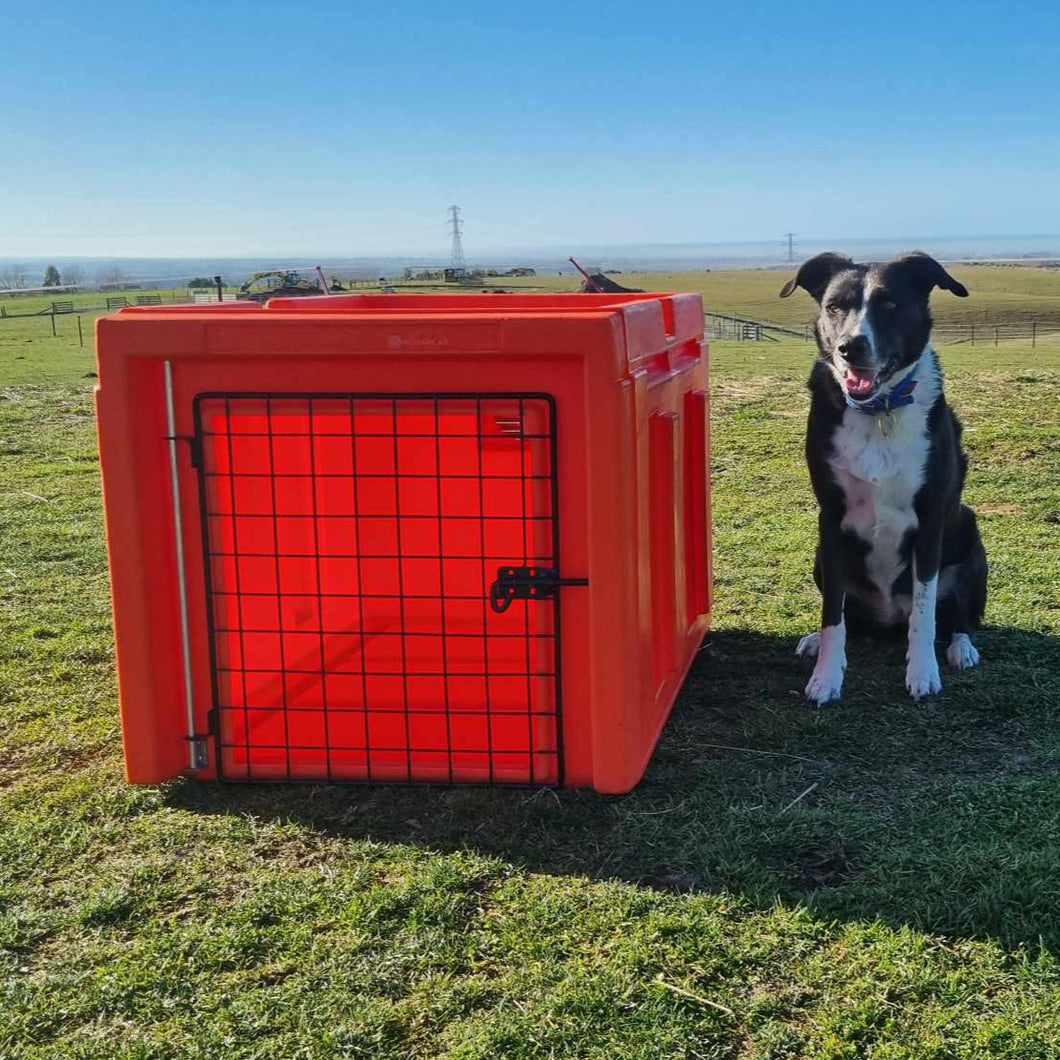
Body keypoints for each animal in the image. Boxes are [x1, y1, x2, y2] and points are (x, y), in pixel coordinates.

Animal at [784, 250, 987, 703]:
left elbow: (925, 613)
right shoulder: (831, 519)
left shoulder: (930, 518)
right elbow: (832, 616)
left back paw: (961, 648)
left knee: (958, 618)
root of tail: (888, 617)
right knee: (848, 616)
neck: (879, 410)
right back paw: (815, 642)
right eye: (834, 306)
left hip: (967, 529)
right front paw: (826, 677)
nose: (850, 347)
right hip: (820, 557)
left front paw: (923, 672)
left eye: (890, 304)